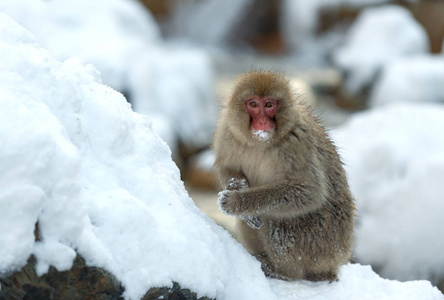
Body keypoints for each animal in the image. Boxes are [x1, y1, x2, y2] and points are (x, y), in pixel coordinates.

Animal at [213, 71, 356, 282]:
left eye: (269, 105)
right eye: (253, 104)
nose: (262, 122)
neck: (259, 143)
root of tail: (339, 257)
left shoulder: (297, 142)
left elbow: (309, 192)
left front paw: (238, 202)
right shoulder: (227, 132)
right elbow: (227, 168)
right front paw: (244, 206)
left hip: (319, 243)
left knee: (278, 220)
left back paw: (282, 271)